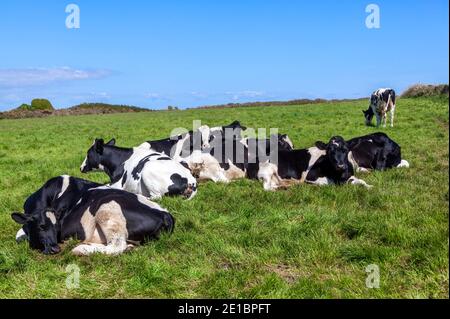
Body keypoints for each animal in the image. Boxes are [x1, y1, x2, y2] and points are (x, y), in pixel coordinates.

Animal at [11, 176, 174, 256]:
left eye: (57, 227)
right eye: (41, 226)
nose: (55, 248)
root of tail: (164, 213)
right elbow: (19, 234)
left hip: (107, 210)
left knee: (116, 246)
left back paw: (81, 248)